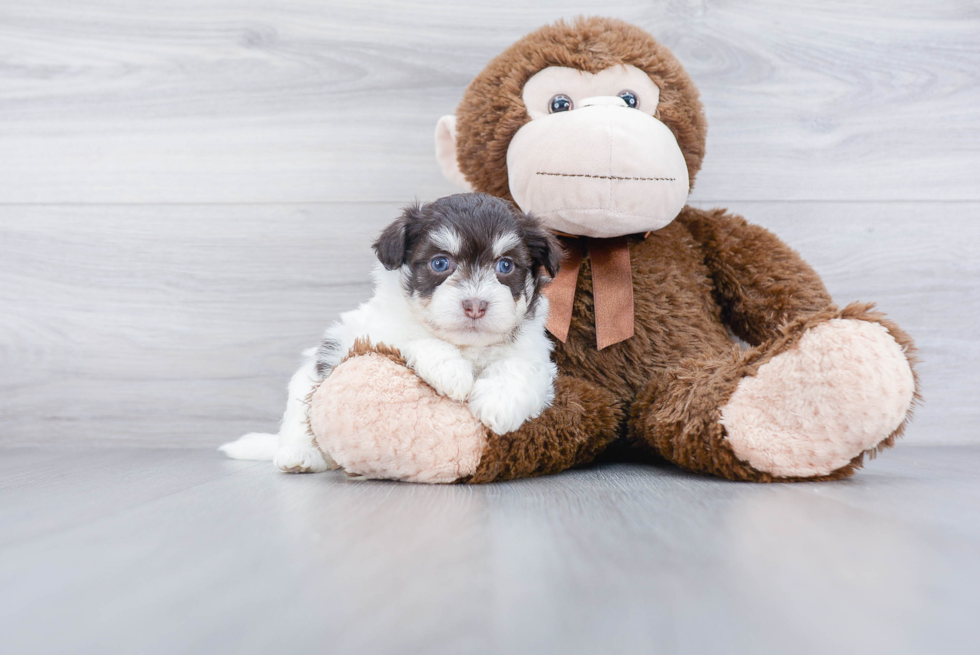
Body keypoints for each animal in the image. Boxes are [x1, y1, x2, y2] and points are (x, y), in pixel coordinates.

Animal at [219, 192, 564, 474]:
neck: (466, 345)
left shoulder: (535, 353)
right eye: (440, 263)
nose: (476, 306)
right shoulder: (372, 331)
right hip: (307, 384)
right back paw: (298, 456)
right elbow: (414, 338)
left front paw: (499, 403)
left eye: (505, 266)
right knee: (299, 423)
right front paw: (452, 372)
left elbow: (518, 367)